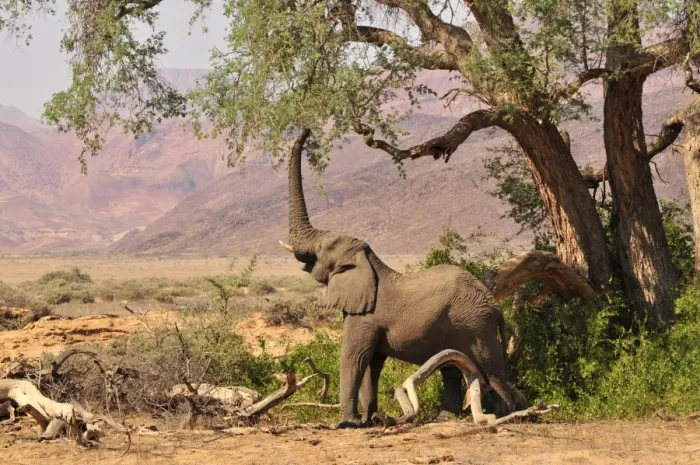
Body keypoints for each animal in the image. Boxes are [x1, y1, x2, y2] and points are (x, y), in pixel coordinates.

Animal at [279, 128, 527, 428]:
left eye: (322, 247)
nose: (306, 130)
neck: (368, 261)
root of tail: (496, 307)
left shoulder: (365, 317)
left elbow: (354, 357)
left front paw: (346, 424)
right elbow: (372, 363)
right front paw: (370, 419)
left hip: (476, 325)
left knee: (491, 370)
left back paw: (506, 414)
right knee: (454, 367)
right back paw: (446, 417)